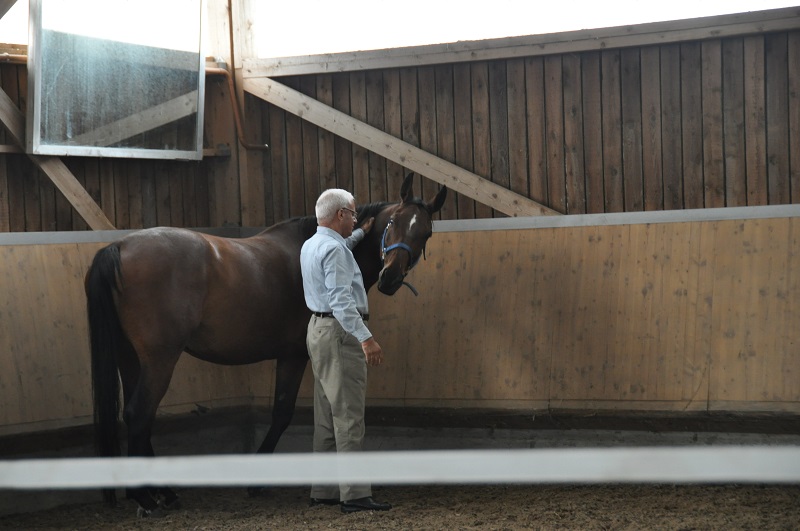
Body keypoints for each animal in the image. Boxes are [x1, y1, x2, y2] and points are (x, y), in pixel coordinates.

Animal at [88, 174, 450, 516]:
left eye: (425, 234)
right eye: (393, 223)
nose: (391, 278)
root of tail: (118, 247)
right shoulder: (293, 356)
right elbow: (282, 413)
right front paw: (257, 481)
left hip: (131, 359)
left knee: (135, 417)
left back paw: (162, 493)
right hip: (160, 360)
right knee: (139, 414)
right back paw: (146, 497)